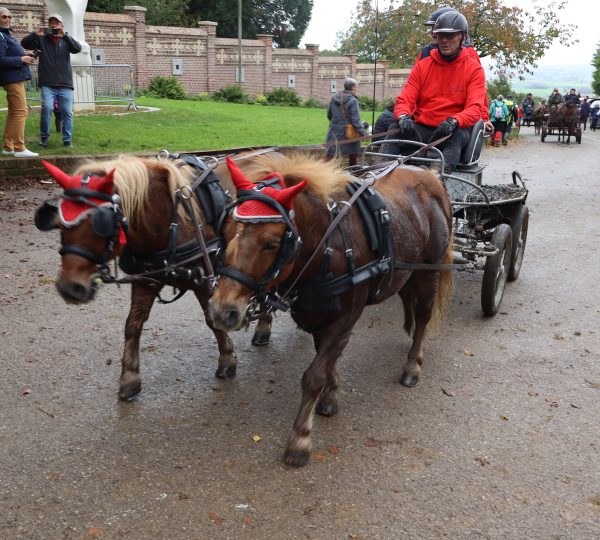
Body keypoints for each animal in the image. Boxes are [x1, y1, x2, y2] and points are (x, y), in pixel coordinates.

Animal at [34, 154, 274, 398]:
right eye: (60, 224)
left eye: (100, 224)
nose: (69, 288)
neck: (169, 220)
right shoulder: (145, 280)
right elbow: (132, 325)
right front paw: (130, 376)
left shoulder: (204, 281)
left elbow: (212, 320)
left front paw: (227, 358)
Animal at [209, 154, 452, 466]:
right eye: (226, 231)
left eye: (271, 243)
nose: (222, 310)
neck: (328, 245)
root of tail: (430, 174)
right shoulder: (317, 314)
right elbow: (326, 359)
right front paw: (331, 393)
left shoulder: (345, 317)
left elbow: (314, 374)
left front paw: (300, 437)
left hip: (429, 271)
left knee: (423, 316)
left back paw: (413, 363)